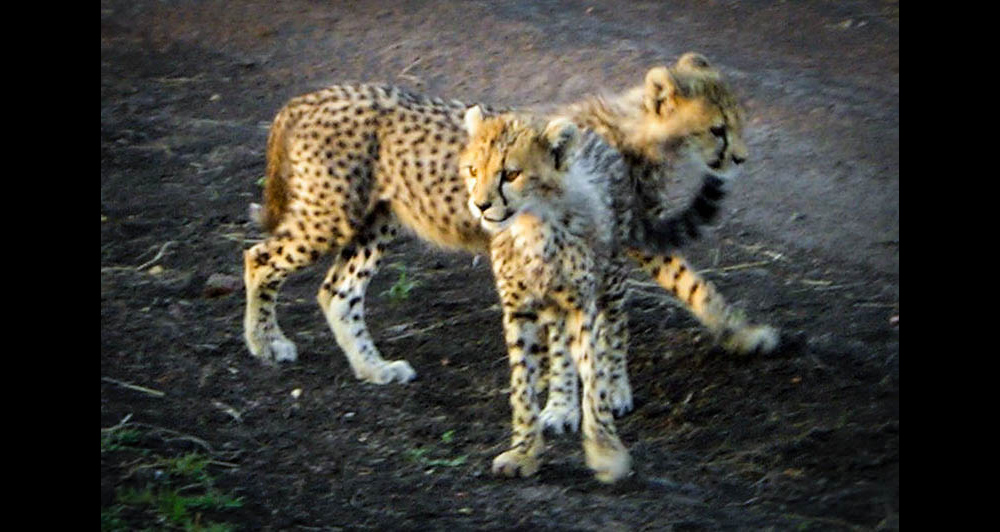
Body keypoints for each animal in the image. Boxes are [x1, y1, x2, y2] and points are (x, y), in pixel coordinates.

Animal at [242, 52, 777, 398]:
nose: (741, 158)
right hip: (330, 215)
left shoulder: (622, 240)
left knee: (338, 291)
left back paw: (373, 369)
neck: (636, 134)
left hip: (377, 222)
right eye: (717, 129)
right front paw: (606, 391)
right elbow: (642, 306)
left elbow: (690, 287)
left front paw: (742, 334)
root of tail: (310, 96)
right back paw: (264, 343)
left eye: (737, 122)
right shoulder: (616, 245)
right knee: (259, 258)